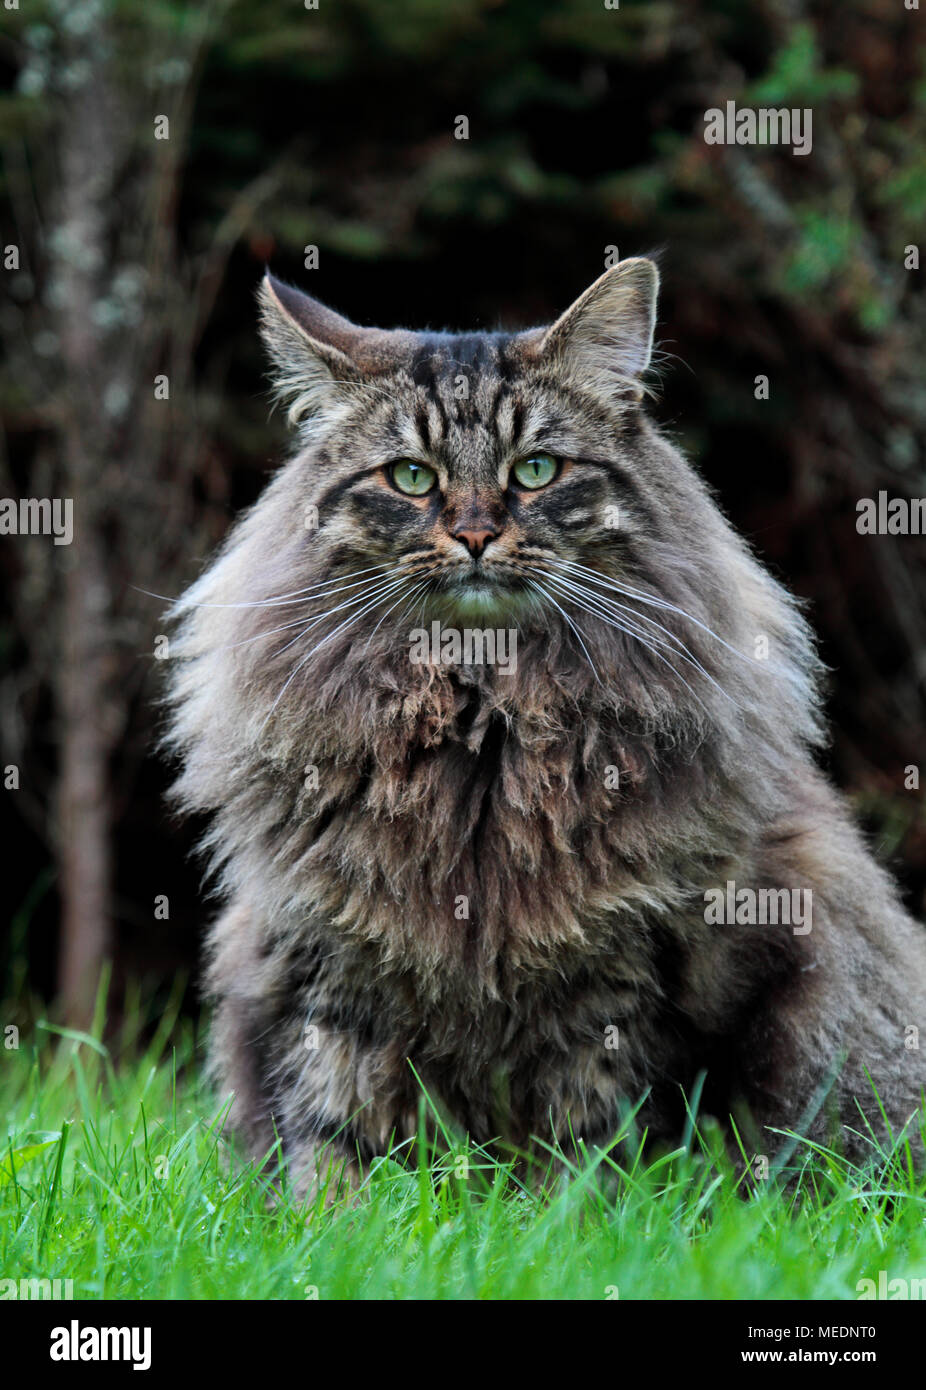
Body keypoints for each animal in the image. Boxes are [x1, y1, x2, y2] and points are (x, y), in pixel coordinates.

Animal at [166, 261, 923, 1195]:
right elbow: (334, 1137)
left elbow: (594, 1146)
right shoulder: (333, 959)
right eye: (411, 478)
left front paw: (579, 1214)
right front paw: (330, 1219)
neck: (486, 734)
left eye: (535, 469)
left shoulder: (626, 974)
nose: (475, 534)